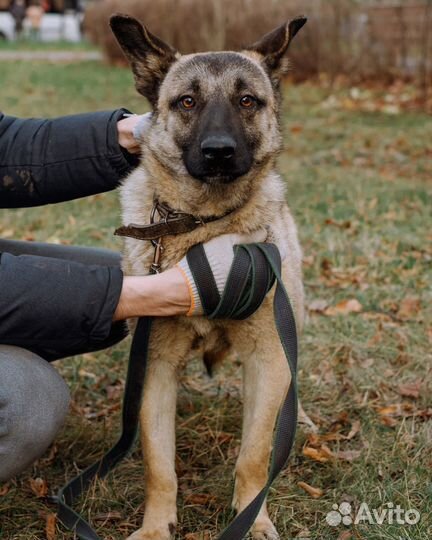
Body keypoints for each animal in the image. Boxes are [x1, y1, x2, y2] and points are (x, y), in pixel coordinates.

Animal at [111, 13, 308, 540]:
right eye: (187, 101)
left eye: (247, 101)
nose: (219, 152)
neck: (205, 224)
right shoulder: (155, 366)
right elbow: (159, 464)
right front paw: (156, 526)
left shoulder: (267, 359)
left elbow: (254, 457)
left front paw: (252, 520)